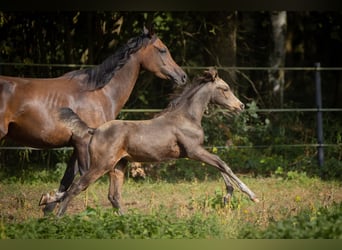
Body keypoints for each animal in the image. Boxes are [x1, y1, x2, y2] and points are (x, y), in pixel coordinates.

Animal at [0, 27, 187, 215]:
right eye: (162, 50)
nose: (183, 76)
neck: (99, 93)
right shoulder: (85, 143)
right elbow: (84, 181)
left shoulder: (78, 145)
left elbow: (68, 180)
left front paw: (48, 209)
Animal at [49, 68, 260, 217]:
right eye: (225, 89)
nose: (240, 106)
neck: (187, 117)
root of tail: (94, 130)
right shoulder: (194, 151)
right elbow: (222, 164)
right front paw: (251, 195)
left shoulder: (196, 152)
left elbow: (220, 166)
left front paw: (227, 196)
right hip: (101, 165)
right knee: (76, 188)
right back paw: (58, 219)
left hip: (118, 166)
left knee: (113, 196)